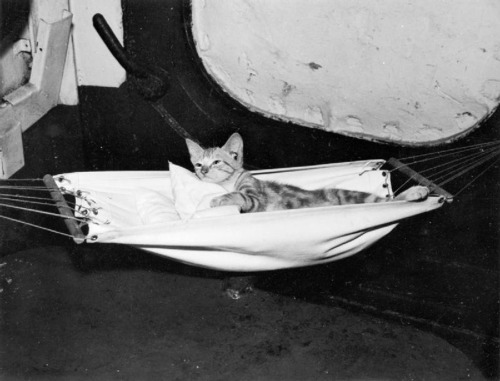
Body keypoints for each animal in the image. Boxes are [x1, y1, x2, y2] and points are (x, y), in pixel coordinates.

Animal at [186, 134, 428, 212]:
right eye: (198, 164)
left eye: (217, 161)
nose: (204, 170)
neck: (227, 182)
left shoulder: (255, 196)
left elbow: (239, 195)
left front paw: (219, 199)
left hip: (346, 194)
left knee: (386, 200)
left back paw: (416, 192)